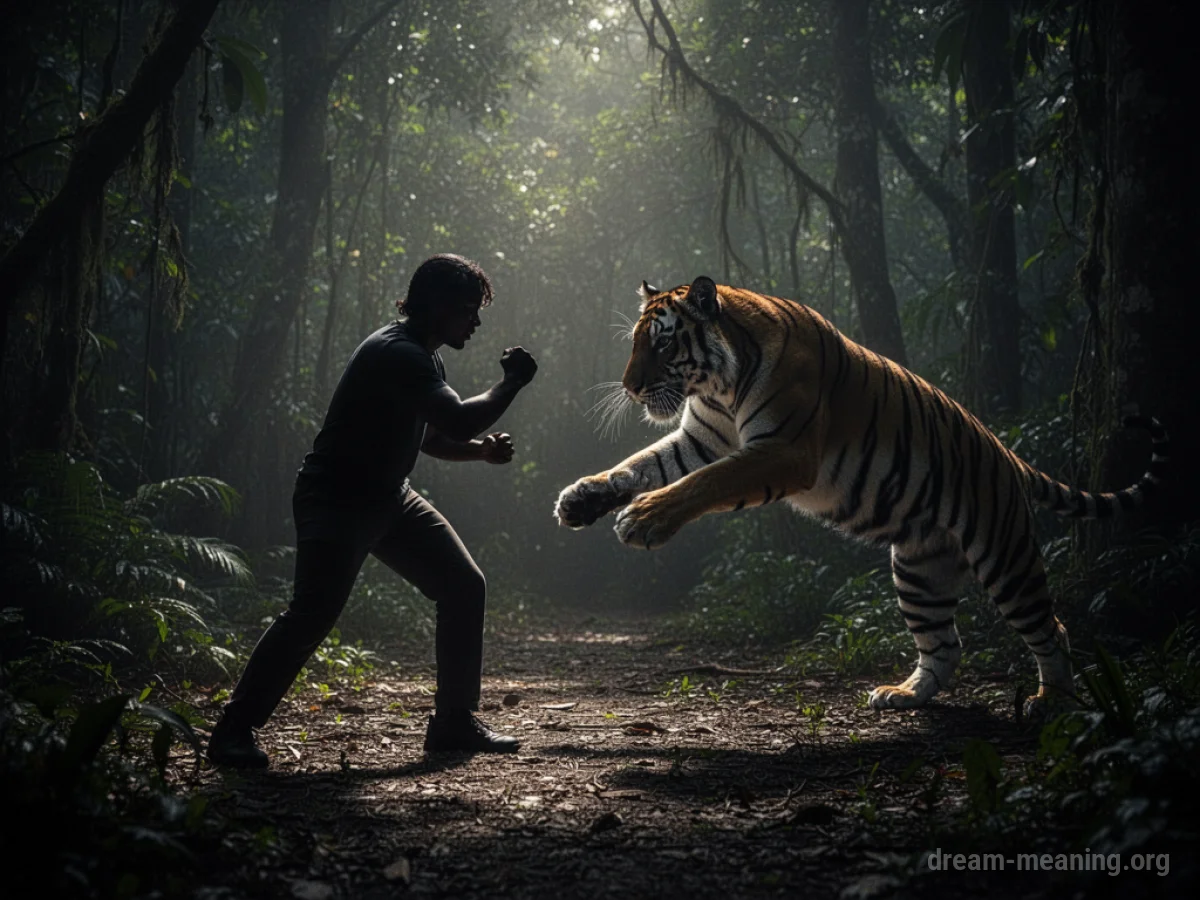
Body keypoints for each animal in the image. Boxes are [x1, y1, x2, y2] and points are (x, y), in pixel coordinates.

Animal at [553, 276, 1168, 717]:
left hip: (1004, 557)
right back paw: (904, 695)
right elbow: (641, 466)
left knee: (1050, 626)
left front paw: (644, 519)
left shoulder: (783, 451)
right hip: (919, 569)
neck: (719, 386)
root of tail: (1005, 450)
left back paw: (1050, 702)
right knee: (945, 644)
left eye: (662, 342)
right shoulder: (703, 438)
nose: (630, 387)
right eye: (636, 343)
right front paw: (582, 498)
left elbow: (703, 483)